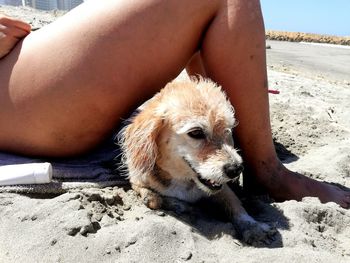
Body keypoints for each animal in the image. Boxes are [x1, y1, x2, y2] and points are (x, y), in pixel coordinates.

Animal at [119, 78, 276, 245]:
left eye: (227, 129)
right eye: (196, 132)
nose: (236, 169)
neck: (183, 180)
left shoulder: (222, 188)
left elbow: (235, 204)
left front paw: (253, 227)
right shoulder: (136, 180)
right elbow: (153, 199)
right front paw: (176, 204)